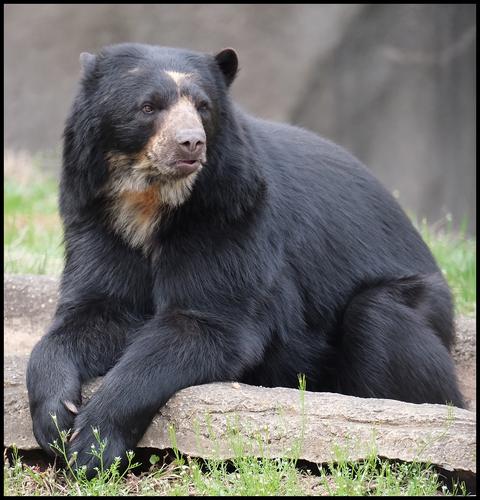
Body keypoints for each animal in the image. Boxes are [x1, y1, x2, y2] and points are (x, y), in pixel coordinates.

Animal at [26, 44, 464, 476]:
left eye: (203, 106)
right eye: (148, 107)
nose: (190, 143)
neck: (152, 201)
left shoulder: (232, 216)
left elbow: (209, 323)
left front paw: (92, 446)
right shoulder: (98, 220)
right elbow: (94, 312)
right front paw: (56, 418)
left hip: (420, 301)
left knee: (381, 319)